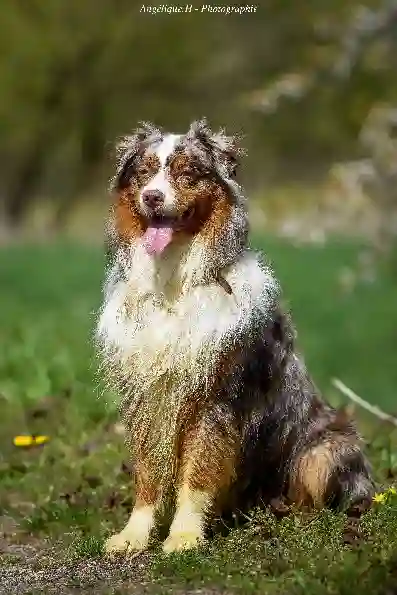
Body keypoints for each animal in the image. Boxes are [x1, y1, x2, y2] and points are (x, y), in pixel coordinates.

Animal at [96, 118, 374, 556]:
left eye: (187, 173)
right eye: (143, 172)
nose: (152, 197)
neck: (174, 281)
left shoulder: (217, 398)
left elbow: (198, 473)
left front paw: (184, 536)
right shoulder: (147, 397)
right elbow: (147, 472)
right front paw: (133, 535)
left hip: (327, 450)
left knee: (317, 498)